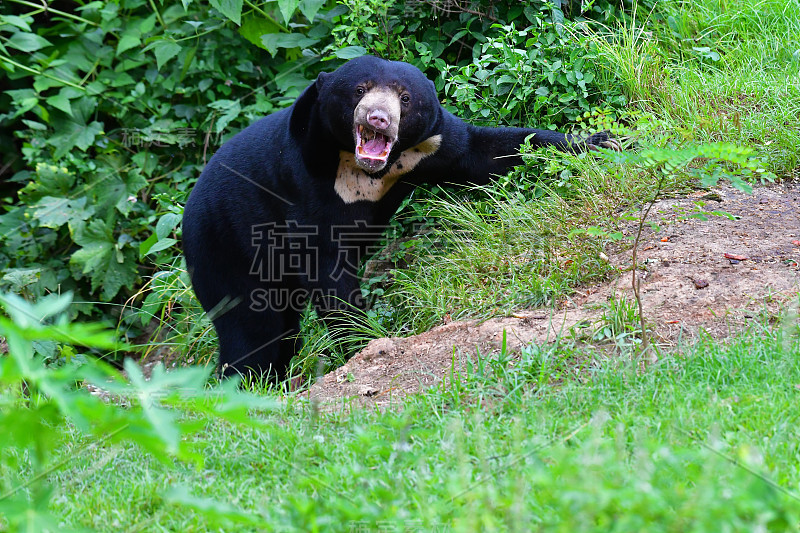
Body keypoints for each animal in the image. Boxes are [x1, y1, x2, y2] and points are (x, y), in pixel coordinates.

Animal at [181, 55, 620, 378]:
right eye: (359, 90)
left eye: (404, 98)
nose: (377, 117)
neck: (358, 167)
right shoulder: (300, 183)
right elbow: (324, 264)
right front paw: (363, 344)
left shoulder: (432, 145)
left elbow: (491, 150)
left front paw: (603, 142)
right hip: (224, 247)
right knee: (253, 330)